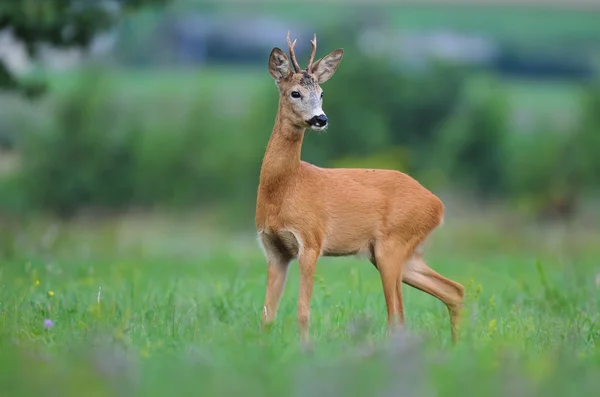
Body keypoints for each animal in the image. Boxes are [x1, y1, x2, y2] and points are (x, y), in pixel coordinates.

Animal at [255, 32, 466, 344]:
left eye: (322, 93)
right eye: (295, 93)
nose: (320, 119)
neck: (285, 189)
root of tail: (437, 204)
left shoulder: (312, 241)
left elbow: (303, 312)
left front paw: (306, 349)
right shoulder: (274, 249)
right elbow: (267, 316)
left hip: (393, 245)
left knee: (398, 316)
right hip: (397, 254)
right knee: (454, 290)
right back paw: (456, 347)